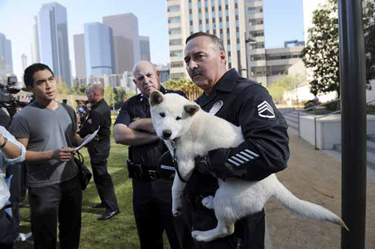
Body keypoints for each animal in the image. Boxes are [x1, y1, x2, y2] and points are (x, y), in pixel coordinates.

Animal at [150, 90, 350, 242]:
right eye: (161, 115)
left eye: (178, 118)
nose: (166, 133)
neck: (188, 125)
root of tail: (274, 183)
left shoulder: (185, 164)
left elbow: (176, 187)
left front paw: (176, 207)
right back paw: (209, 202)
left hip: (226, 197)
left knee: (226, 229)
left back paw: (204, 235)